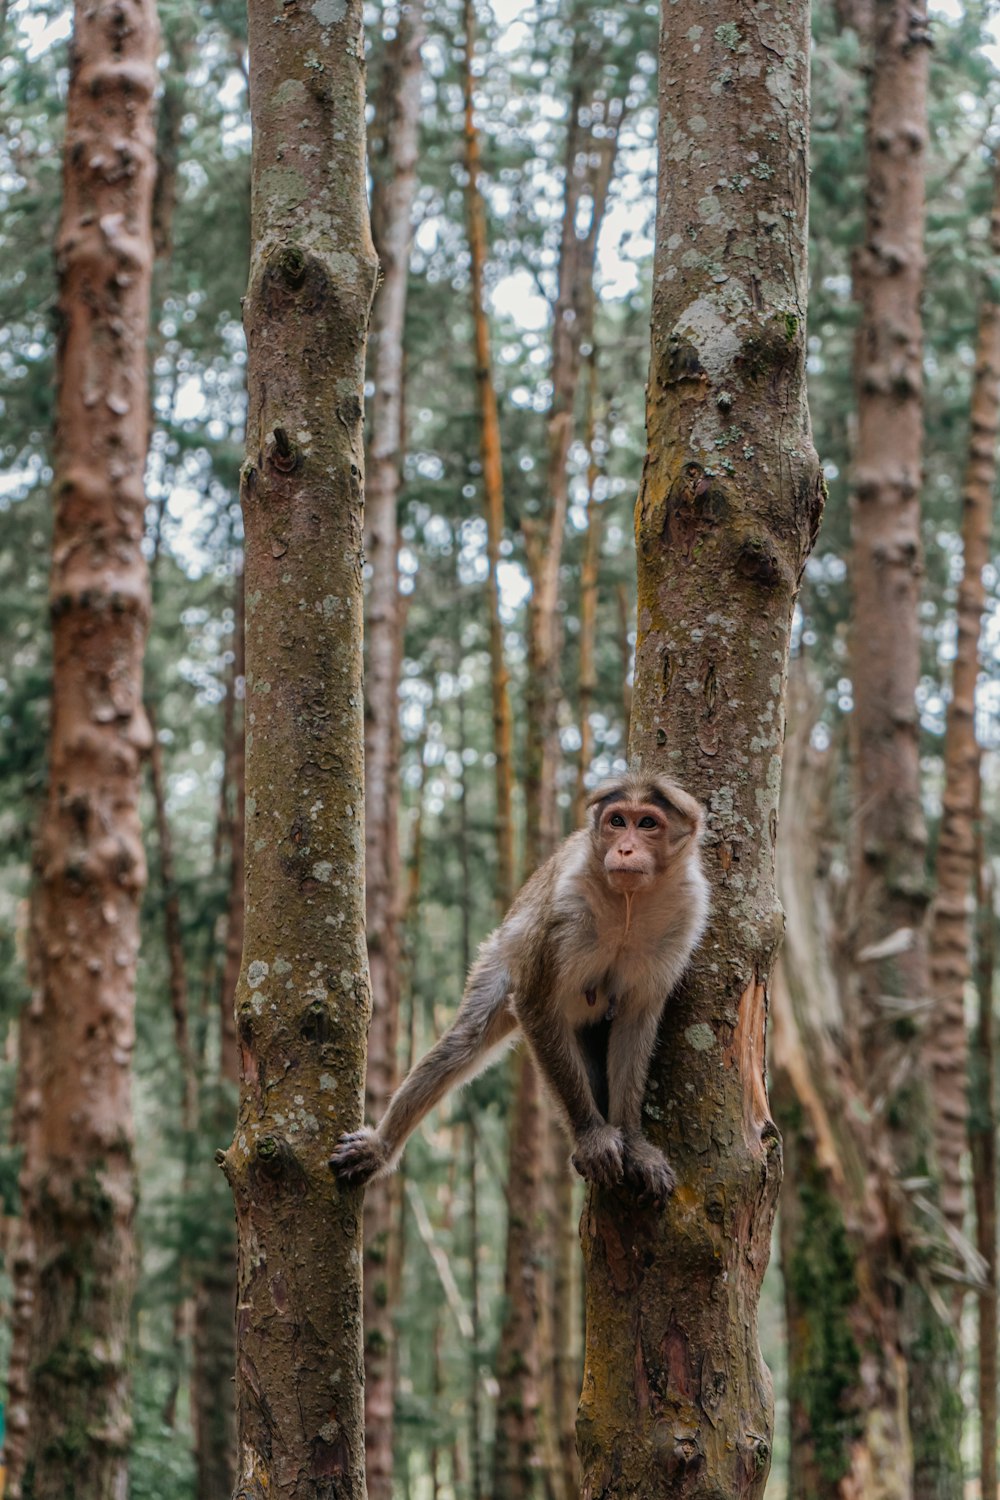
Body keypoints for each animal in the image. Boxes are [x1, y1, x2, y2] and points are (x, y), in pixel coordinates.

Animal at [332, 774, 707, 1206]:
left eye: (647, 823)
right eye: (617, 821)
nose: (625, 848)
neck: (630, 903)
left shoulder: (687, 916)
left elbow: (636, 1019)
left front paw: (634, 1141)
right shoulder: (563, 908)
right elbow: (535, 1004)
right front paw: (592, 1137)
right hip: (502, 959)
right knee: (466, 1041)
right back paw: (380, 1147)